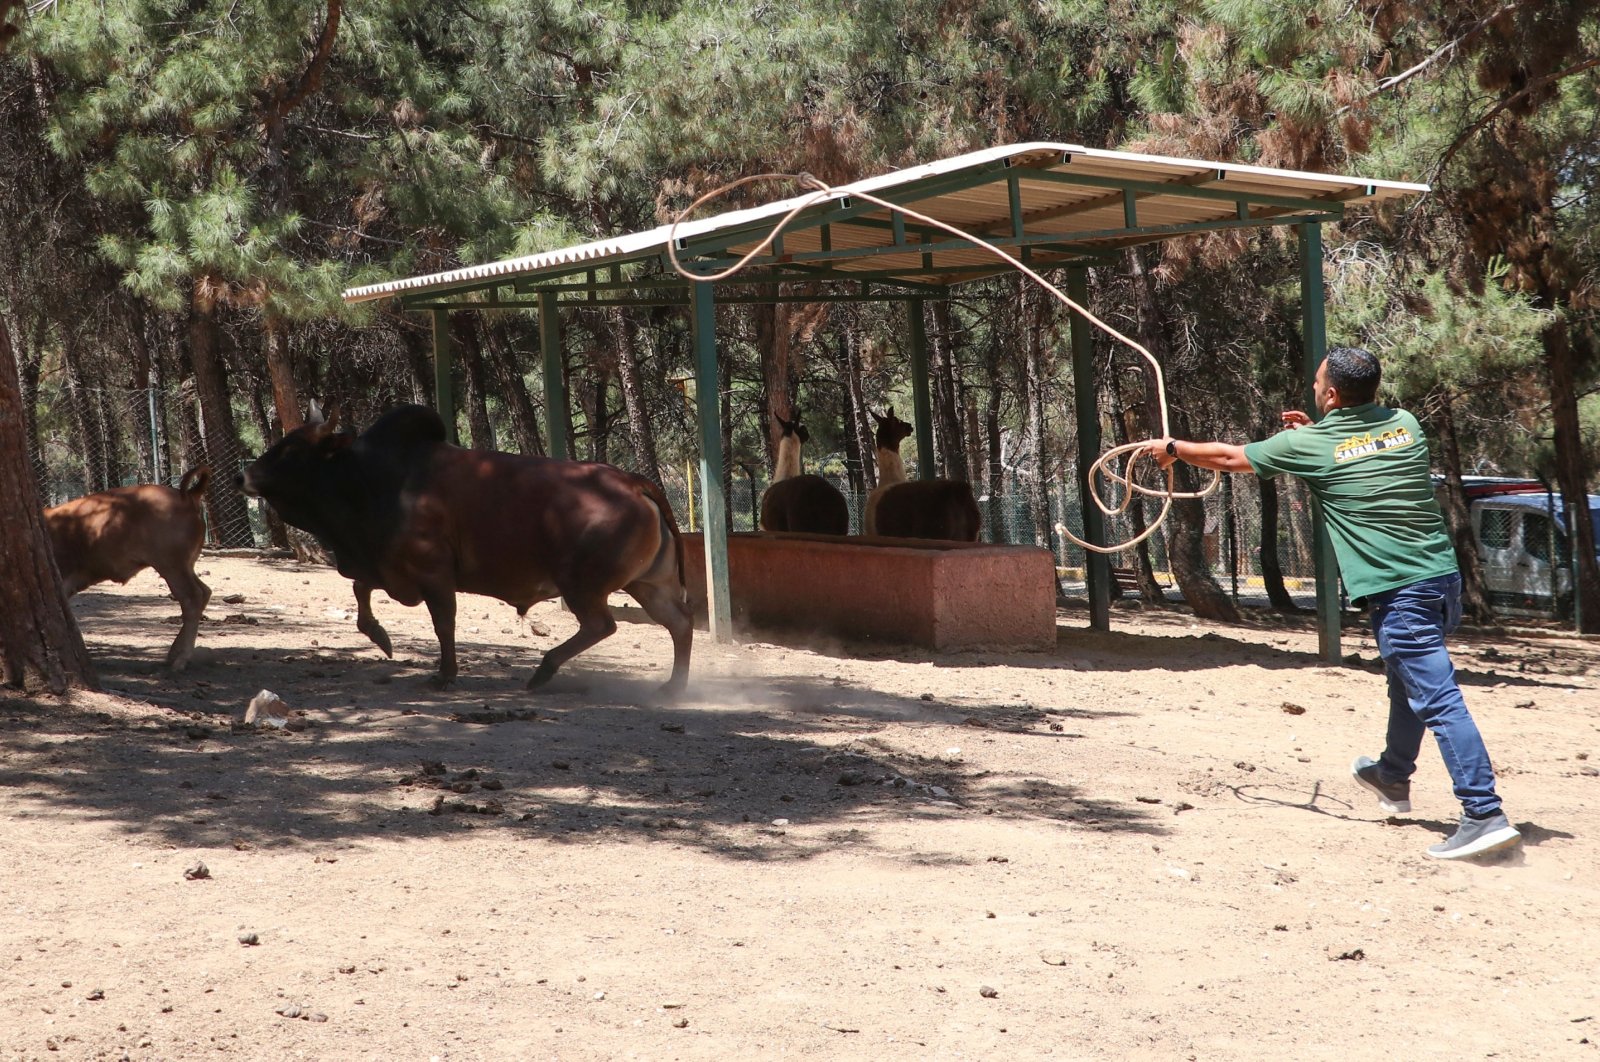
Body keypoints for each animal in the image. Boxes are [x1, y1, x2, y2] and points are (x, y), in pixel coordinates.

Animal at [46, 467, 214, 668]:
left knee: (191, 598)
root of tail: (187, 496)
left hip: (171, 567)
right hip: (184, 567)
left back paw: (180, 659)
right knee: (204, 591)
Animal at [236, 403, 688, 694]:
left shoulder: (433, 573)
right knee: (678, 625)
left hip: (582, 585)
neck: (374, 479)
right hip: (647, 584)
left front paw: (444, 674)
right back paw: (673, 686)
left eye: (292, 449)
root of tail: (632, 482)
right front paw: (381, 638)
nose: (245, 476)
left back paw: (543, 671)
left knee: (601, 625)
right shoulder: (384, 567)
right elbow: (361, 592)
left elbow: (443, 624)